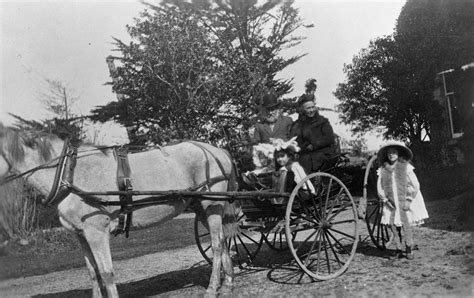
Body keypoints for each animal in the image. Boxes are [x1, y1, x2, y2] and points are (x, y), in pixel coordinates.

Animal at [0, 123, 237, 296]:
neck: (69, 173)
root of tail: (216, 150)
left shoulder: (96, 232)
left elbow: (106, 273)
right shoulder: (81, 235)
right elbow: (93, 274)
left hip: (211, 206)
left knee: (216, 245)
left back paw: (212, 288)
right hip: (201, 209)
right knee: (223, 239)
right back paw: (228, 283)